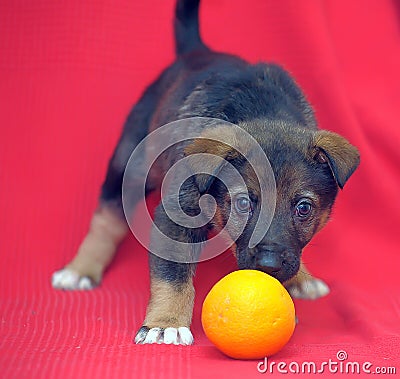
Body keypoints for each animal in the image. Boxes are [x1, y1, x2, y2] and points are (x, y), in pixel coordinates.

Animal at [50, 0, 360, 346]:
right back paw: (81, 268)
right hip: (130, 160)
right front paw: (166, 323)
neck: (262, 109)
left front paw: (297, 279)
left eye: (304, 208)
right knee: (108, 215)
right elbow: (173, 275)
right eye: (243, 203)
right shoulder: (176, 215)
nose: (268, 265)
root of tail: (196, 51)